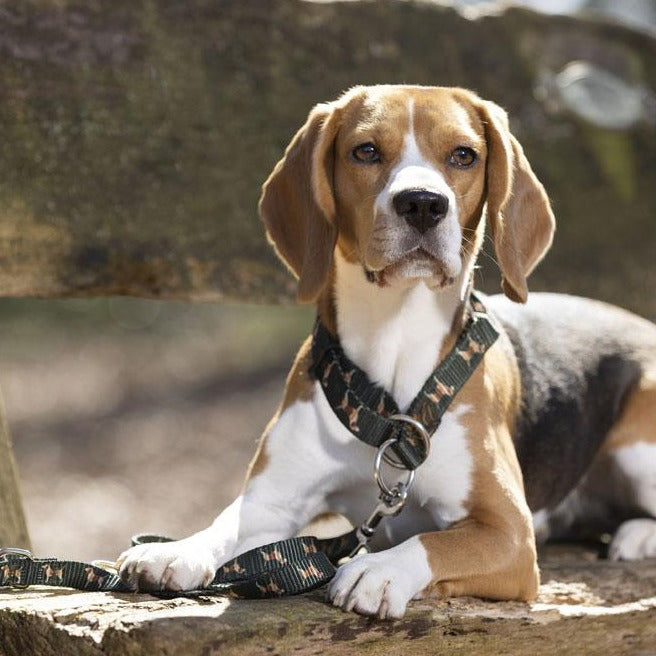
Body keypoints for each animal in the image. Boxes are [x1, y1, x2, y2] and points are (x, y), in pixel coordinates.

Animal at [118, 84, 656, 616]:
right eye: (366, 151)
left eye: (463, 155)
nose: (422, 203)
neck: (395, 354)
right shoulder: (271, 500)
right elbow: (225, 526)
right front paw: (176, 551)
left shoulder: (510, 533)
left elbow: (434, 542)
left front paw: (378, 570)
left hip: (637, 443)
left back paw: (636, 535)